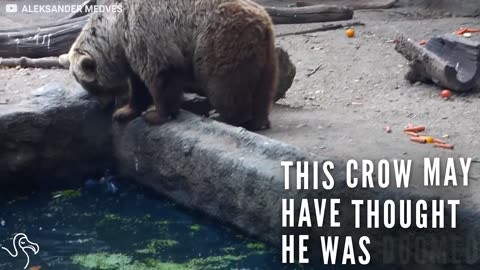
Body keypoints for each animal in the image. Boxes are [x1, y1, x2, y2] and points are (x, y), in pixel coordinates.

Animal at [68, 0, 278, 131]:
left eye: (93, 86)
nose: (104, 106)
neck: (115, 32)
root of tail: (263, 22)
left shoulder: (144, 31)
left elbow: (161, 73)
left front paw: (155, 115)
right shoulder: (131, 49)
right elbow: (138, 83)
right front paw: (123, 112)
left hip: (219, 39)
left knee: (224, 84)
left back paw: (224, 117)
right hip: (265, 53)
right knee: (263, 89)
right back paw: (260, 121)